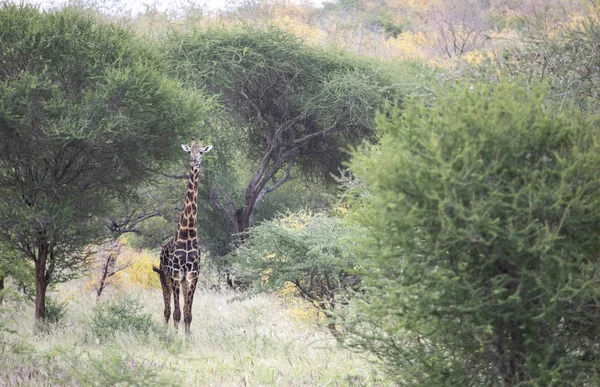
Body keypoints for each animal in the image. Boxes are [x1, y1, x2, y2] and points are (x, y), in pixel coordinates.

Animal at [152, 138, 213, 334]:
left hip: (183, 282)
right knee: (167, 310)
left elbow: (188, 314)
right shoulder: (176, 274)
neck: (188, 232)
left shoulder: (192, 276)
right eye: (189, 151)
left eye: (201, 152)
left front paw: (187, 337)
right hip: (164, 277)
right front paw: (174, 337)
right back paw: (165, 332)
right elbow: (177, 313)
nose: (194, 161)